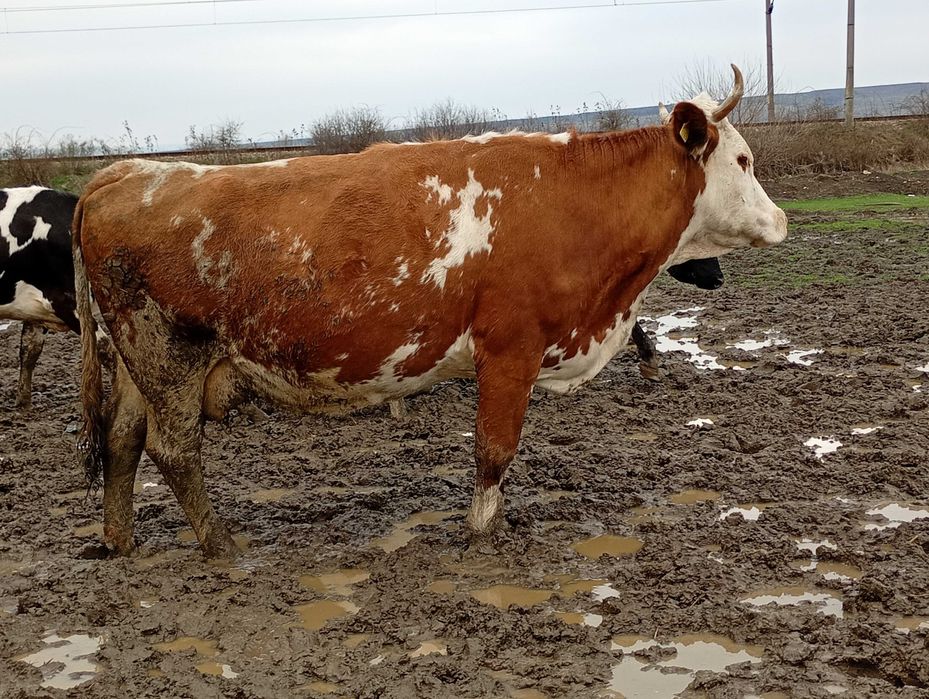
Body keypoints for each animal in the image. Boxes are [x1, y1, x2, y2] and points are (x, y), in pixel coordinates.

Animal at [73, 65, 787, 558]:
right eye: (744, 160)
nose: (781, 220)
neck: (568, 201)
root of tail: (126, 174)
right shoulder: (511, 348)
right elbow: (494, 450)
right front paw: (481, 534)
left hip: (140, 362)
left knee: (123, 438)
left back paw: (119, 540)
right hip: (171, 355)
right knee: (174, 449)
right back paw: (223, 546)